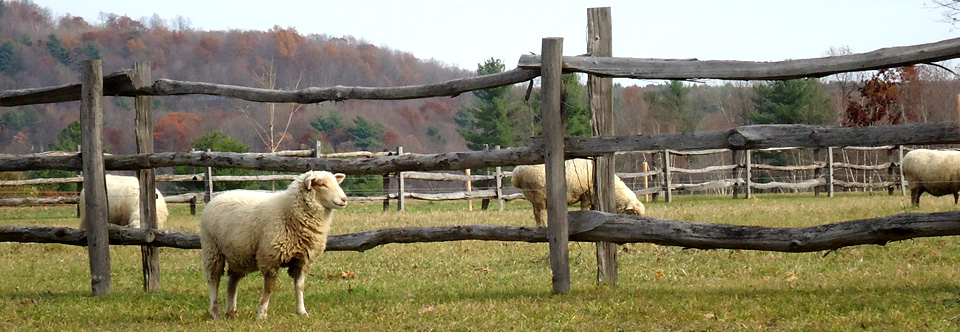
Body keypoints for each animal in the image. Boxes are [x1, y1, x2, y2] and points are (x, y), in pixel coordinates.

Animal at [202, 171, 348, 320]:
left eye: (336, 183)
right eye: (322, 184)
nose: (344, 199)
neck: (289, 212)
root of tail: (218, 197)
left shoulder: (302, 260)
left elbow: (300, 286)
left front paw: (302, 312)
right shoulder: (270, 258)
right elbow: (269, 288)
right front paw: (262, 314)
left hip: (239, 255)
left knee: (232, 281)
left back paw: (231, 311)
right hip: (212, 249)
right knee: (213, 280)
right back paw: (215, 313)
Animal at [510, 159, 644, 227]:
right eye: (633, 214)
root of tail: (517, 172)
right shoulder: (587, 195)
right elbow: (585, 209)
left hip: (533, 196)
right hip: (538, 195)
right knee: (540, 213)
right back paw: (543, 226)